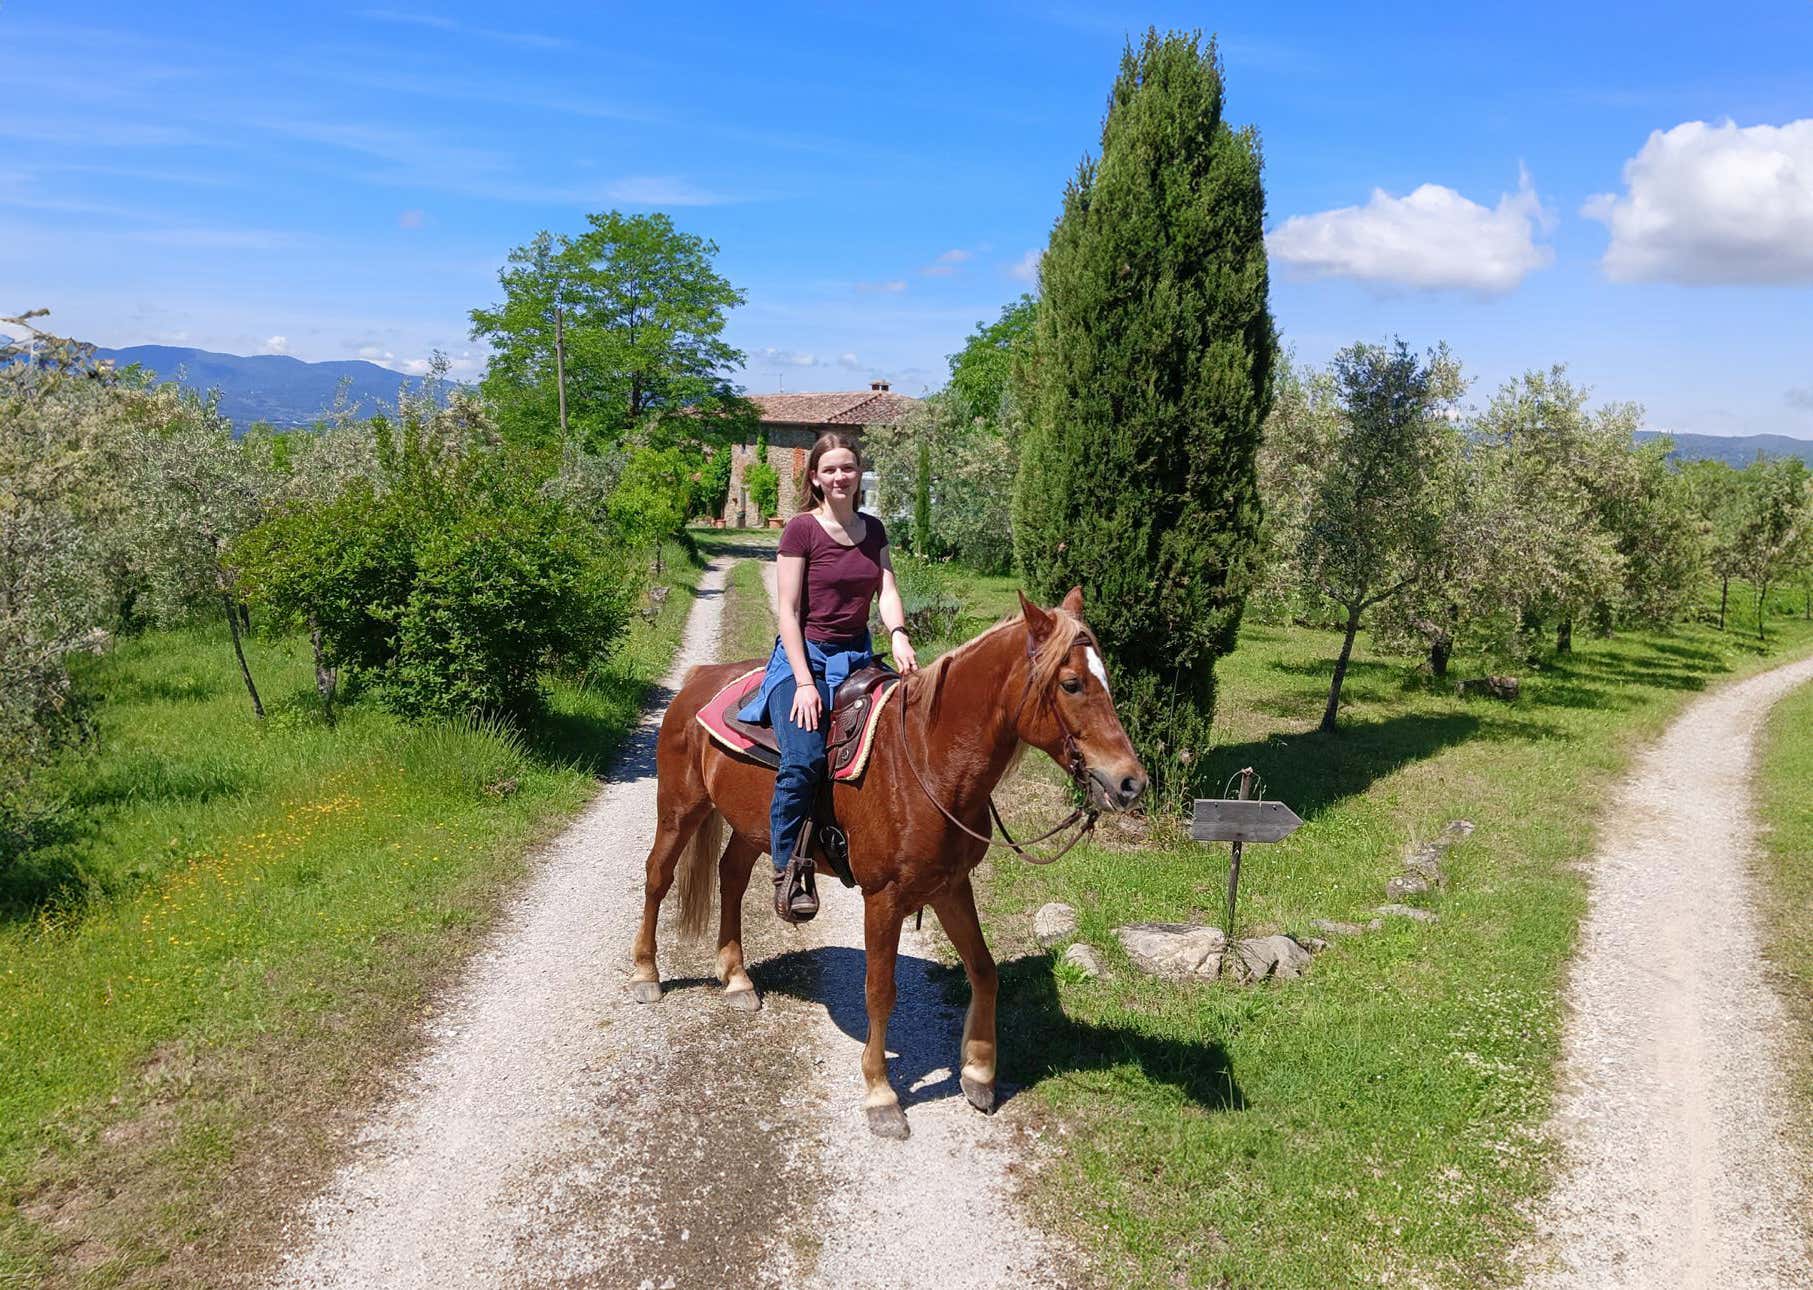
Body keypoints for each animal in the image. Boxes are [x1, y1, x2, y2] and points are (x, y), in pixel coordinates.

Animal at [629, 586, 1148, 1138]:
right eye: (1071, 683)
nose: (1131, 783)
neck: (927, 758)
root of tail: (698, 677)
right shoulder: (884, 897)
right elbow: (880, 992)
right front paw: (881, 1096)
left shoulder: (950, 885)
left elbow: (984, 971)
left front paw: (978, 1073)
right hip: (680, 807)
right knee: (658, 877)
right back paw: (646, 975)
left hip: (755, 825)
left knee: (730, 876)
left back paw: (737, 978)